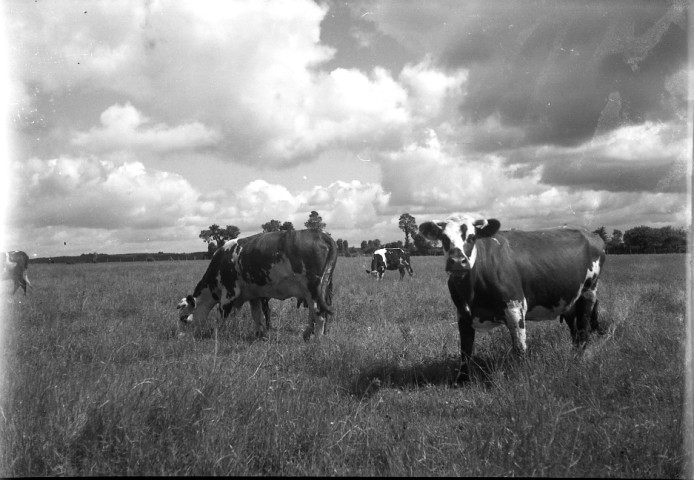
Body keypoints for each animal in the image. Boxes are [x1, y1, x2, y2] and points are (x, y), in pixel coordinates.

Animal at [177, 229, 337, 340]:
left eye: (183, 318)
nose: (179, 337)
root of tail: (320, 233)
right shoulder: (253, 296)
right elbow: (257, 316)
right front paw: (260, 335)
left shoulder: (229, 294)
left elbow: (221, 317)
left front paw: (215, 335)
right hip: (315, 292)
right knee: (314, 313)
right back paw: (307, 334)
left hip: (313, 289)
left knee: (319, 314)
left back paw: (317, 340)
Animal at [419, 215, 605, 383]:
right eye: (444, 238)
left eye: (472, 237)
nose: (458, 261)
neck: (471, 291)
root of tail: (591, 234)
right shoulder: (462, 313)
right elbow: (465, 350)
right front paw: (462, 380)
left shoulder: (515, 307)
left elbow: (519, 347)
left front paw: (520, 376)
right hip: (569, 300)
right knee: (574, 330)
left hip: (588, 291)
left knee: (583, 328)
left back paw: (578, 358)